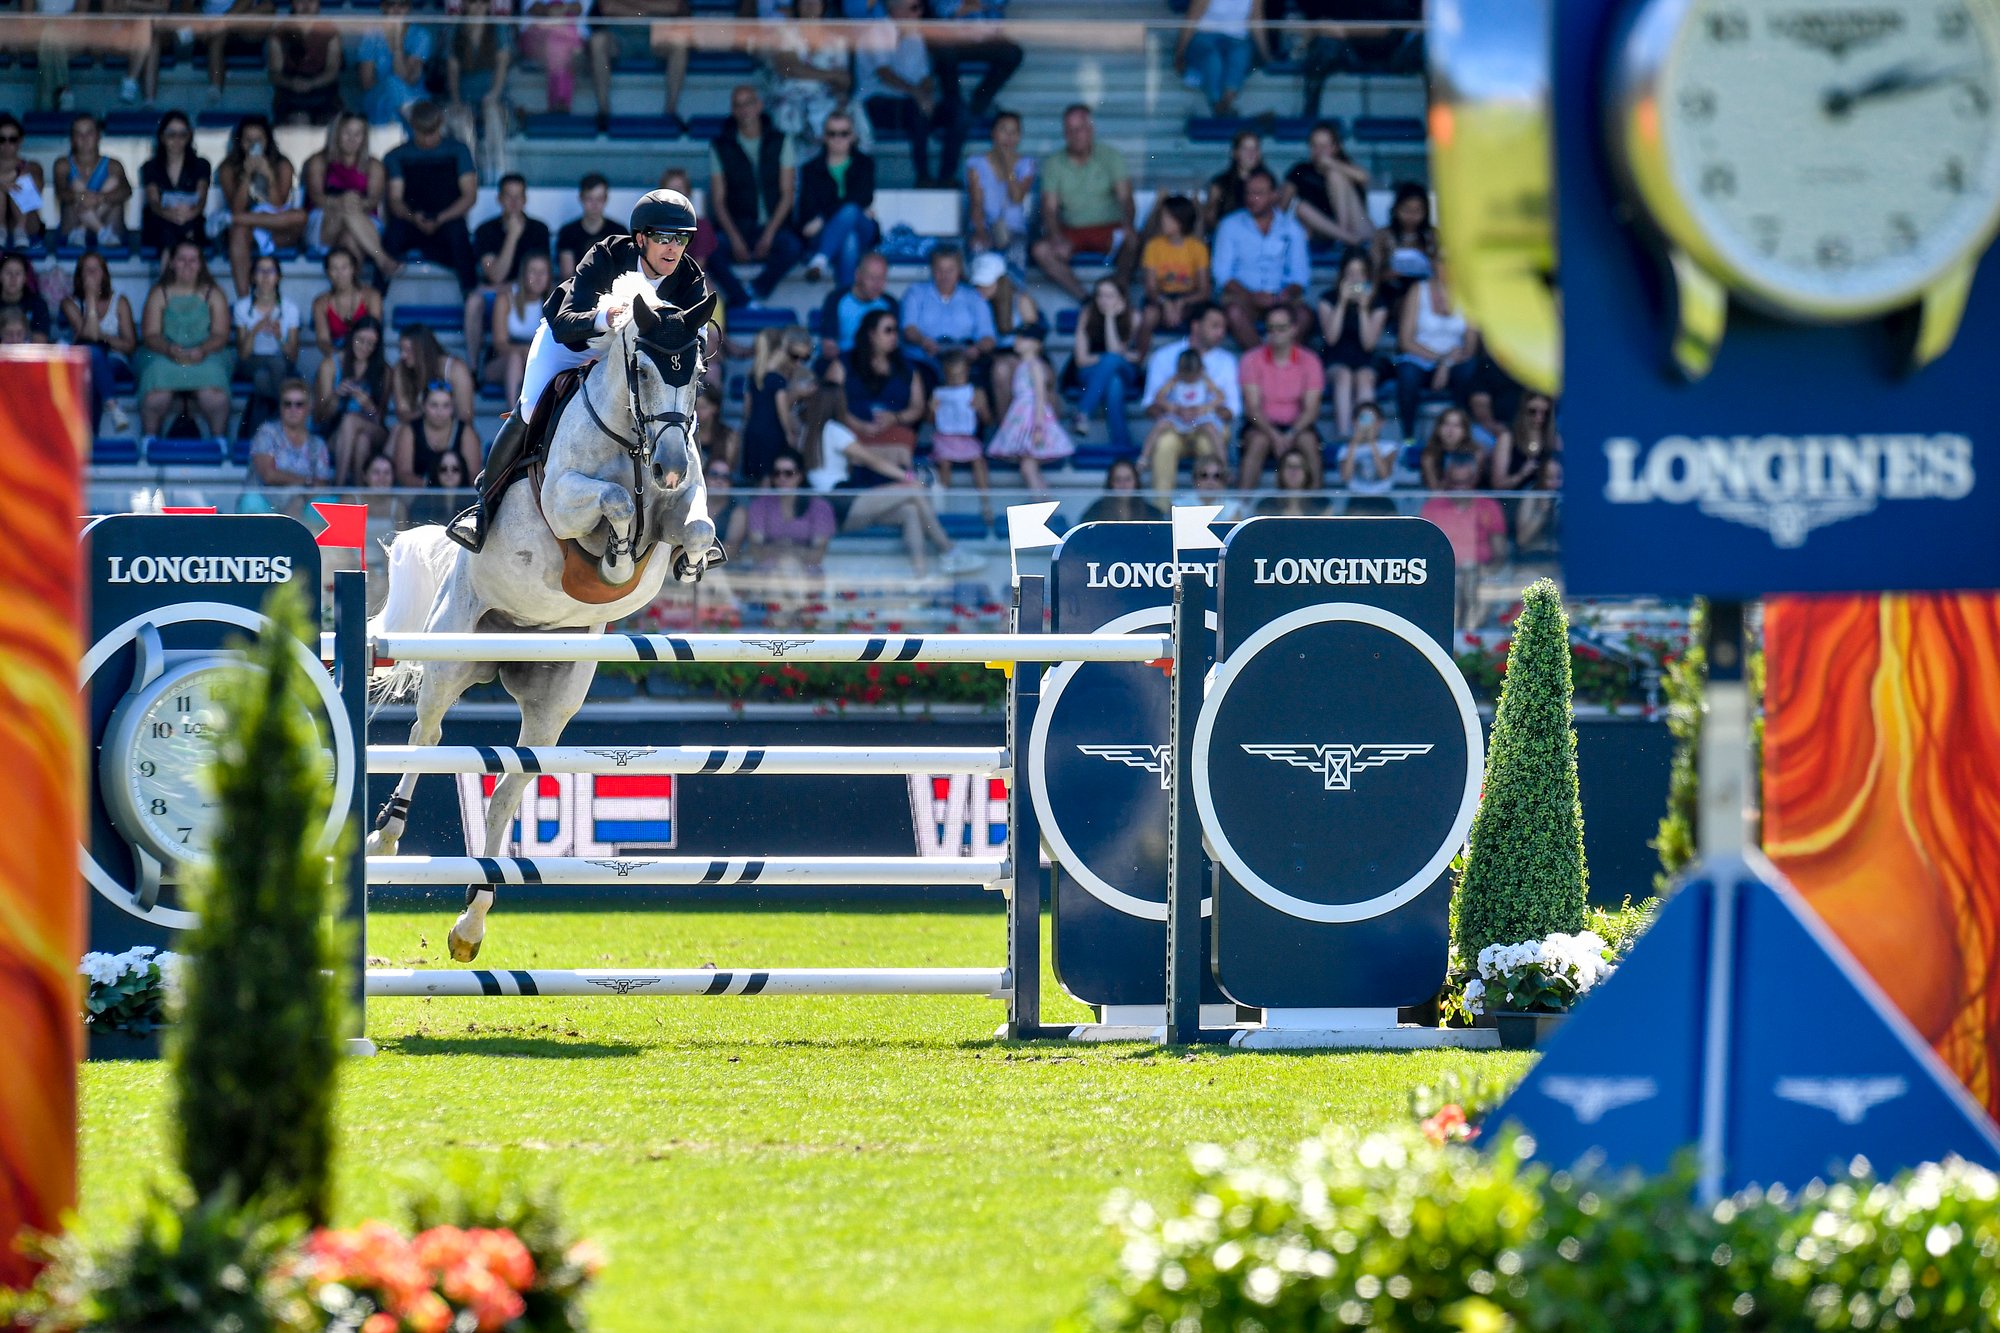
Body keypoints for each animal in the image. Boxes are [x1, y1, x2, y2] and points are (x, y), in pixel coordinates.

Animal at [368, 272, 720, 956]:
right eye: (641, 369)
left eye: (694, 371)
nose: (668, 466)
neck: (633, 443)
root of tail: (503, 656)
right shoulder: (563, 500)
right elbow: (612, 503)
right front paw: (615, 551)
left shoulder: (679, 505)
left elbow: (694, 525)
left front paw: (689, 559)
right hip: (452, 653)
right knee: (428, 736)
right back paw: (385, 838)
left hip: (552, 702)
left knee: (505, 792)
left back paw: (472, 922)